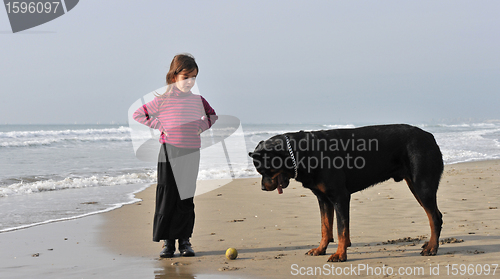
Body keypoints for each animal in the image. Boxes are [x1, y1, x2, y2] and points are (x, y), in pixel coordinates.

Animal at [248, 124, 444, 262]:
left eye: (266, 170)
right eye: (259, 171)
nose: (263, 187)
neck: (304, 153)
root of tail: (430, 137)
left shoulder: (340, 197)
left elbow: (341, 229)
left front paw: (340, 254)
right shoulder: (323, 199)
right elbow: (325, 227)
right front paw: (320, 249)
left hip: (422, 184)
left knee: (434, 217)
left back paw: (432, 248)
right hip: (415, 185)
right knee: (435, 215)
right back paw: (429, 244)